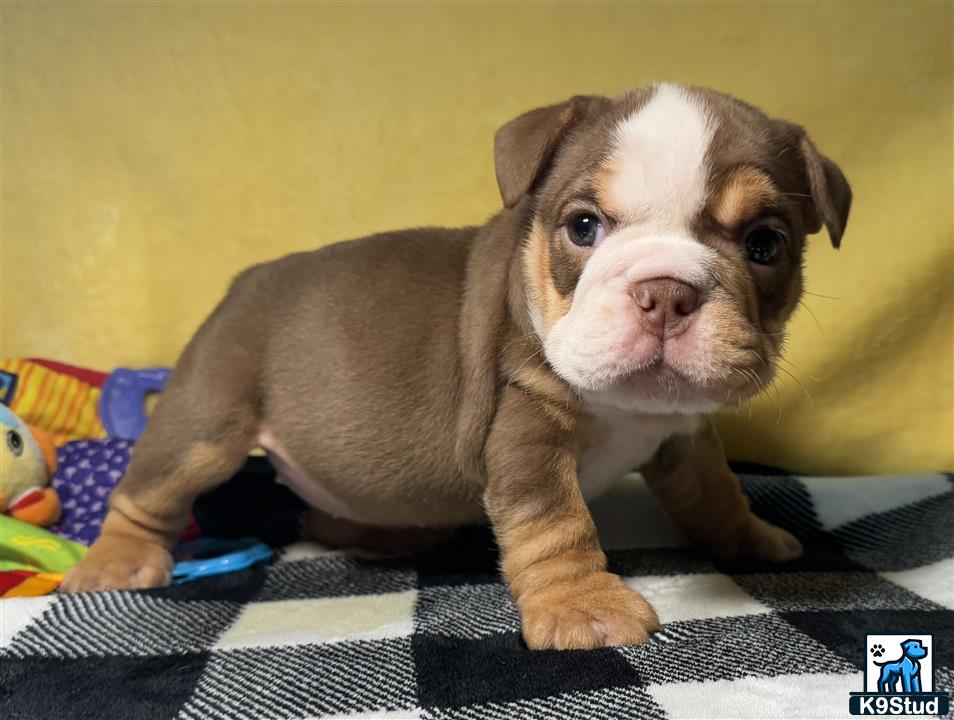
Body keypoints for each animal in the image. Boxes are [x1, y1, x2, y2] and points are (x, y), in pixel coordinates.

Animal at [63, 84, 848, 652]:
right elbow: (555, 521)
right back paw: (116, 560)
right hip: (205, 422)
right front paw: (582, 607)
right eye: (583, 227)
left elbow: (713, 491)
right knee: (150, 490)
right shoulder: (525, 430)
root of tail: (243, 282)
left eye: (765, 245)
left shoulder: (684, 434)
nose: (666, 292)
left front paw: (748, 538)